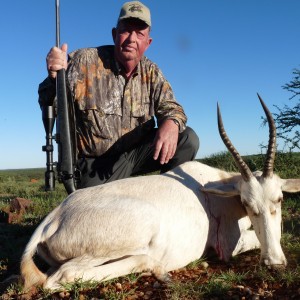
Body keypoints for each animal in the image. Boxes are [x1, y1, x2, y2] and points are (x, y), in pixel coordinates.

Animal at [21, 94, 300, 290]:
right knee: (61, 276)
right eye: (247, 203)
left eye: (279, 199)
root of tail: (53, 219)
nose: (274, 262)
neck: (216, 186)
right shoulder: (229, 244)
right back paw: (156, 269)